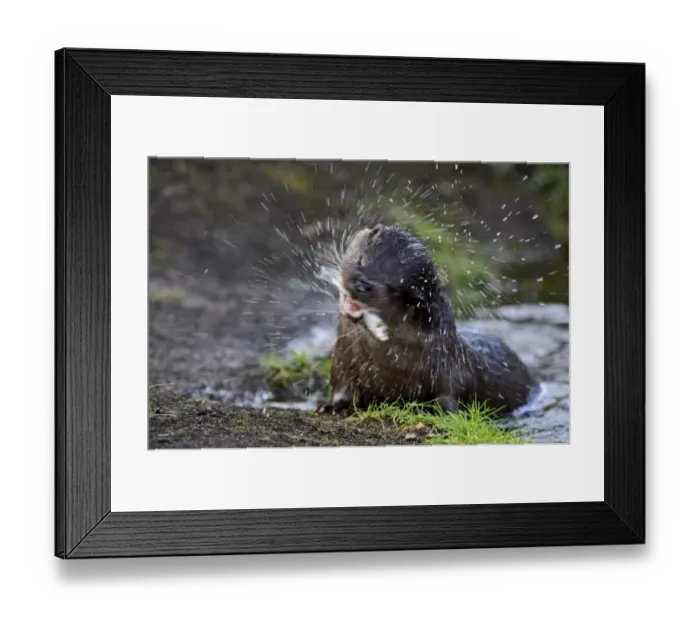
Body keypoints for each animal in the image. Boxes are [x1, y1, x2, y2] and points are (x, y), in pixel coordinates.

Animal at [319, 223, 537, 416]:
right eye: (362, 259)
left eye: (391, 286)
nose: (361, 285)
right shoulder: (343, 362)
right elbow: (341, 389)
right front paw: (333, 407)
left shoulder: (448, 369)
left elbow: (449, 396)